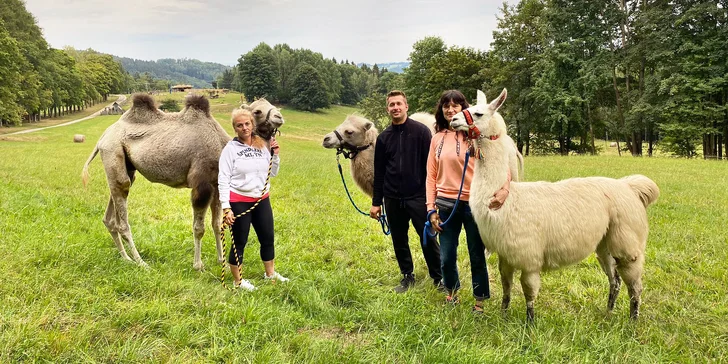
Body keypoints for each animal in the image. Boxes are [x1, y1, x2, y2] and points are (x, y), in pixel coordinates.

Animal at [81, 94, 282, 270]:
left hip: (126, 167)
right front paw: (198, 265)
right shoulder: (202, 184)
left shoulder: (217, 185)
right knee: (122, 213)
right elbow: (199, 228)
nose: (279, 116)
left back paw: (126, 258)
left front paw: (221, 261)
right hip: (113, 151)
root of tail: (102, 138)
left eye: (271, 104)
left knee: (111, 215)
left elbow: (217, 225)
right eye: (257, 111)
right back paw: (141, 262)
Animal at [450, 89, 660, 320]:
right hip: (604, 242)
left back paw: (633, 319)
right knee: (615, 279)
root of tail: (629, 186)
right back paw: (608, 312)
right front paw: (503, 315)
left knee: (635, 284)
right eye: (466, 108)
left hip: (628, 242)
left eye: (477, 113)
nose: (453, 120)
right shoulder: (506, 255)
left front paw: (529, 323)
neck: (505, 199)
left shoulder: (529, 256)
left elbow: (529, 292)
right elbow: (506, 288)